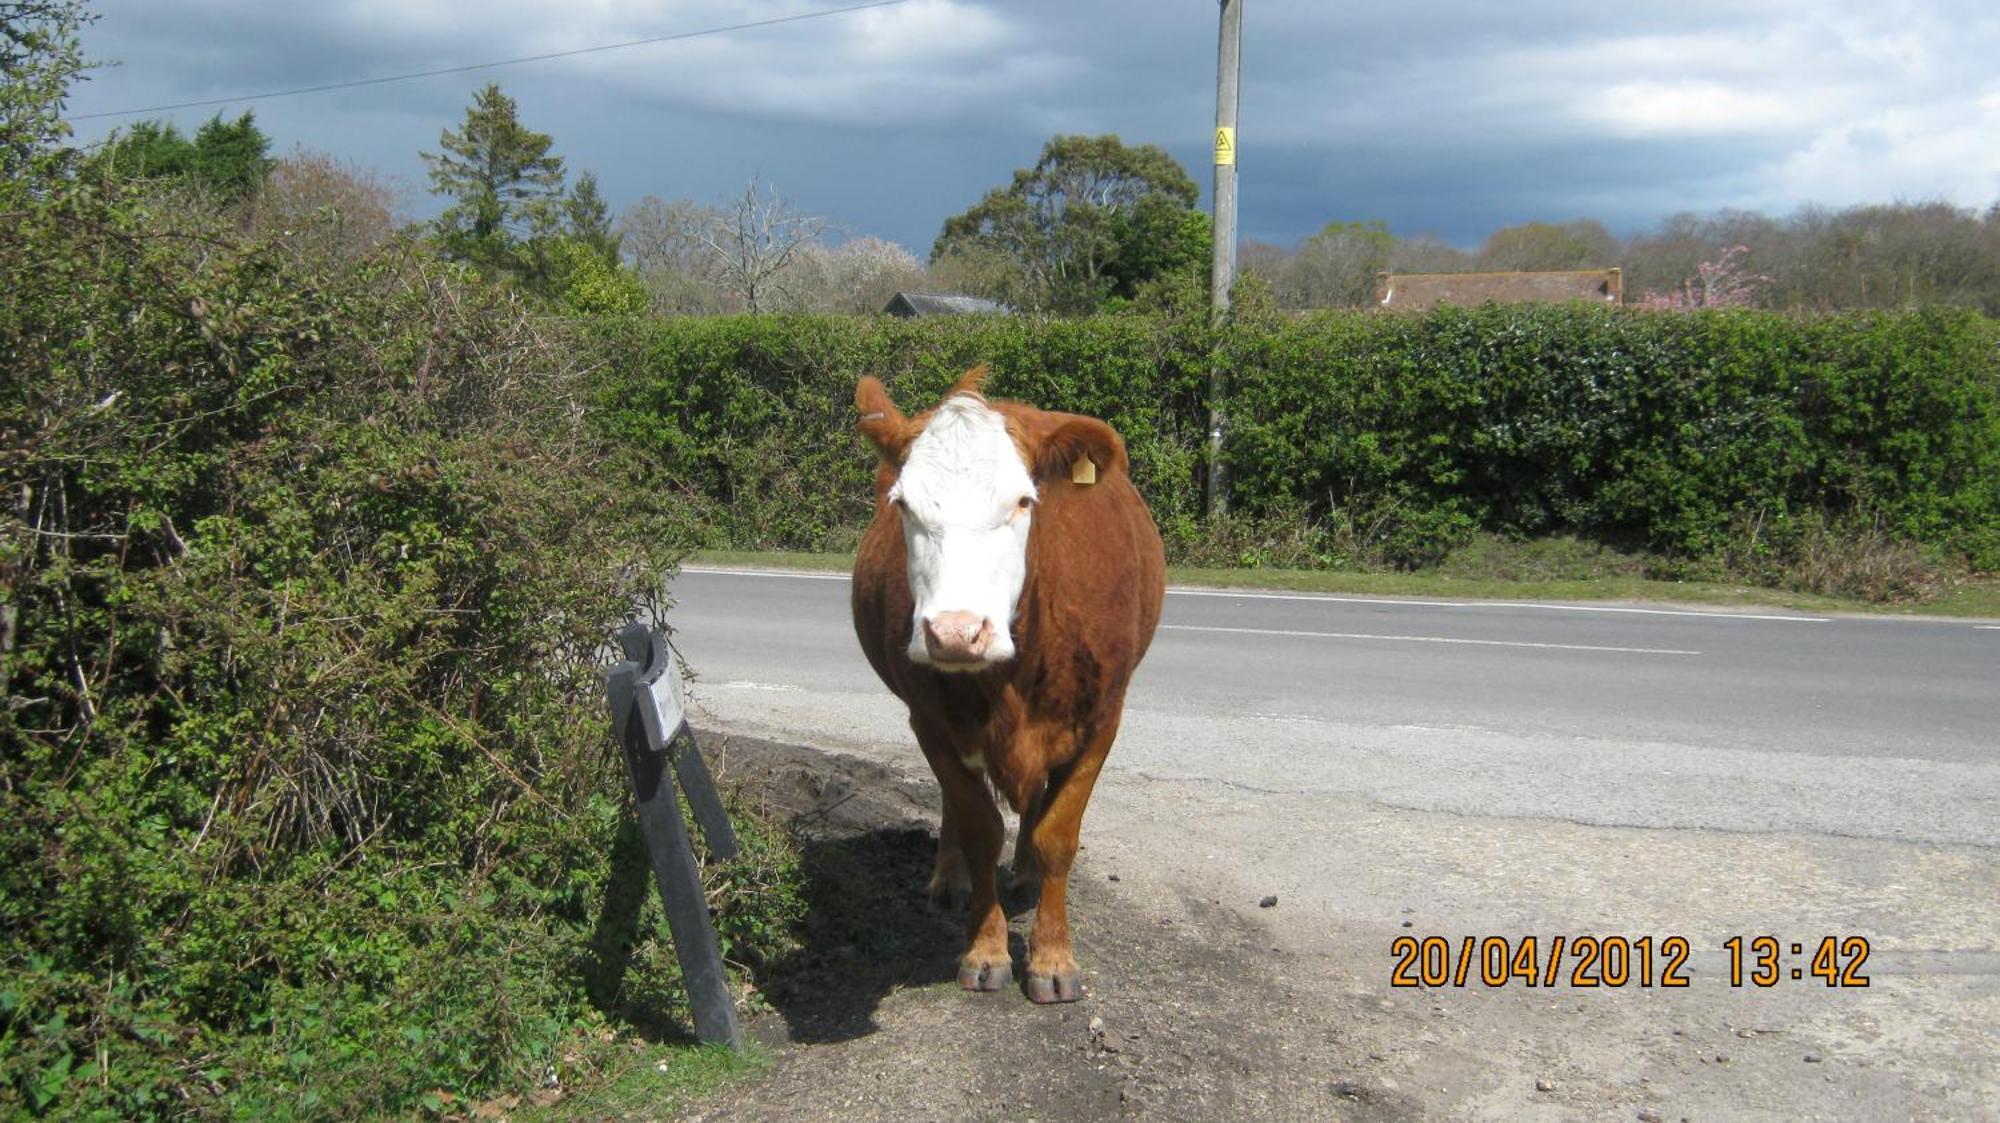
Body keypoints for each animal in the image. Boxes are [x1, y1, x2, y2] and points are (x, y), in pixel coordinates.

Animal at [848, 363, 1168, 999]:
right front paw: (986, 948)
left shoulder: (1102, 720)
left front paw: (1052, 958)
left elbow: (1057, 835)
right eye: (903, 504)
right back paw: (949, 880)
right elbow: (978, 827)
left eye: (1023, 501)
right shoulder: (930, 721)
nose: (955, 632)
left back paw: (1023, 874)